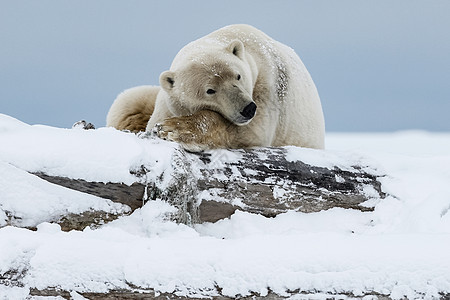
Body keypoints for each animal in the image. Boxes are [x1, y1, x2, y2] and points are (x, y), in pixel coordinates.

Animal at [106, 24, 324, 150]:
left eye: (238, 76)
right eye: (210, 90)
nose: (248, 109)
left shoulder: (267, 85)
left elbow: (253, 130)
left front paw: (173, 128)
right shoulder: (167, 101)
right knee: (129, 101)